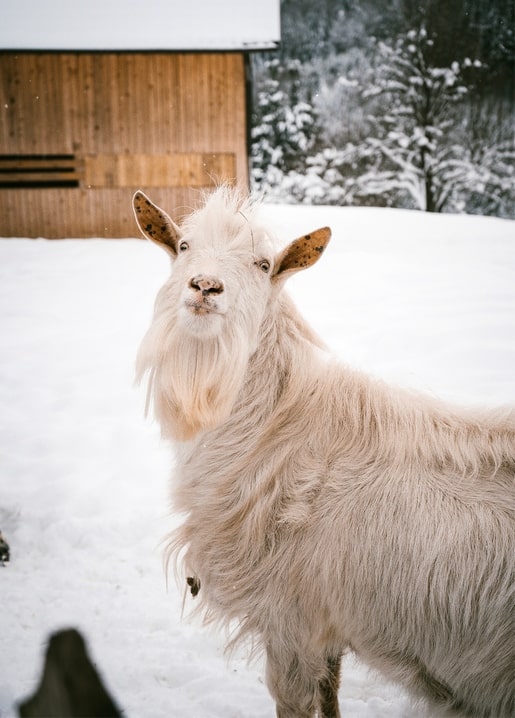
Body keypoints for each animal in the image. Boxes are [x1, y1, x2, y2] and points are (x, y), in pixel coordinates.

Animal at [133, 186, 515, 718]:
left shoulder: (290, 623)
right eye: (184, 246)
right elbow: (331, 692)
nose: (205, 286)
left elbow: (296, 701)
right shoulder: (327, 629)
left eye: (263, 264)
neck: (276, 430)